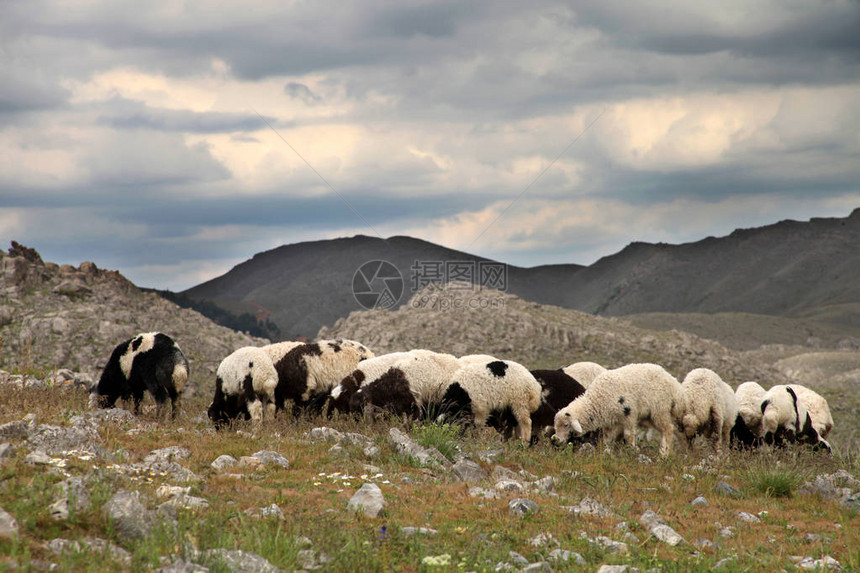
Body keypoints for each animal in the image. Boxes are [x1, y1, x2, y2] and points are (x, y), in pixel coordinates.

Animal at [552, 364, 684, 458]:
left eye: (566, 425)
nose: (556, 440)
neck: (597, 399)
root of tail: (674, 383)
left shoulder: (629, 415)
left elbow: (628, 435)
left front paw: (631, 450)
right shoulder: (609, 422)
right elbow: (607, 438)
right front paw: (607, 451)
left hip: (660, 409)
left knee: (668, 429)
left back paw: (664, 454)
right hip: (650, 416)